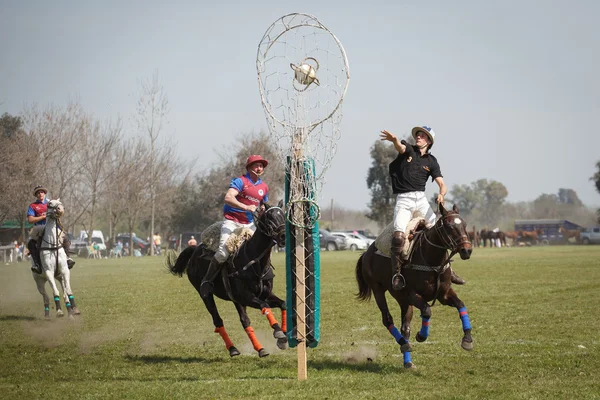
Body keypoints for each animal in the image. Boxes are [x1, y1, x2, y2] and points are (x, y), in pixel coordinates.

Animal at [166, 203, 288, 356]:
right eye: (269, 218)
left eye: (283, 215)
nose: (284, 236)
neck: (254, 261)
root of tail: (195, 249)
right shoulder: (246, 297)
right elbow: (264, 306)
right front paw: (278, 332)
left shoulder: (264, 295)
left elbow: (283, 304)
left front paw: (283, 338)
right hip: (205, 295)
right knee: (218, 320)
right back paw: (233, 348)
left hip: (236, 300)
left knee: (244, 320)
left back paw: (259, 348)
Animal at [356, 203, 474, 368]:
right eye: (449, 226)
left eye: (464, 224)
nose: (466, 250)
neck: (432, 261)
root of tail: (367, 252)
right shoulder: (412, 295)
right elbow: (427, 310)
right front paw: (421, 335)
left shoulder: (443, 294)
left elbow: (460, 305)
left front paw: (467, 340)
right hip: (378, 289)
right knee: (387, 319)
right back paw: (404, 344)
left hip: (401, 299)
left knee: (405, 327)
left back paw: (408, 360)